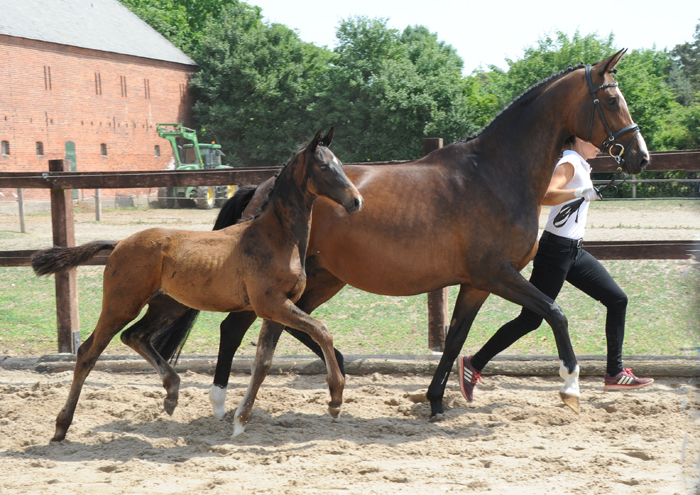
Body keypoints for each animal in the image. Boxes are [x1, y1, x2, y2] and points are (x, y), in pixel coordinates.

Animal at [30, 129, 364, 442]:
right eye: (324, 166)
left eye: (340, 163)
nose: (356, 201)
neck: (276, 236)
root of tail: (119, 243)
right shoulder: (272, 304)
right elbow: (321, 330)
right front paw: (335, 399)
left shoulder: (277, 309)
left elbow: (263, 363)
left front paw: (240, 421)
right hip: (121, 304)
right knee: (88, 351)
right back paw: (61, 427)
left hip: (168, 305)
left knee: (134, 336)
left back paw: (172, 393)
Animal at [152, 49, 644, 438]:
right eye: (612, 100)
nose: (640, 156)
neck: (494, 174)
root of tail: (263, 187)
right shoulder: (498, 274)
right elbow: (556, 314)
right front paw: (570, 388)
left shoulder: (476, 283)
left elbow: (454, 341)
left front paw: (436, 401)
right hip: (282, 283)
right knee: (236, 327)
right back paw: (227, 401)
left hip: (322, 277)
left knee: (282, 325)